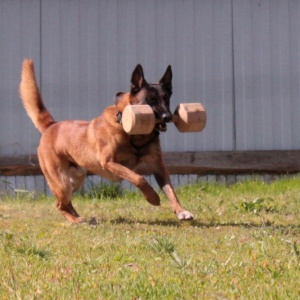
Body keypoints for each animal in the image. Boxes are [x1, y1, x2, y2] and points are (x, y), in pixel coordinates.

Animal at [19, 59, 193, 223]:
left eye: (166, 98)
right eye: (150, 99)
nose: (168, 117)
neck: (132, 133)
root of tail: (51, 126)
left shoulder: (158, 167)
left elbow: (170, 191)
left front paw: (181, 211)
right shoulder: (109, 162)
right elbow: (139, 178)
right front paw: (153, 198)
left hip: (76, 178)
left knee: (66, 203)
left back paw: (81, 218)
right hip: (61, 182)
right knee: (59, 204)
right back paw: (75, 221)